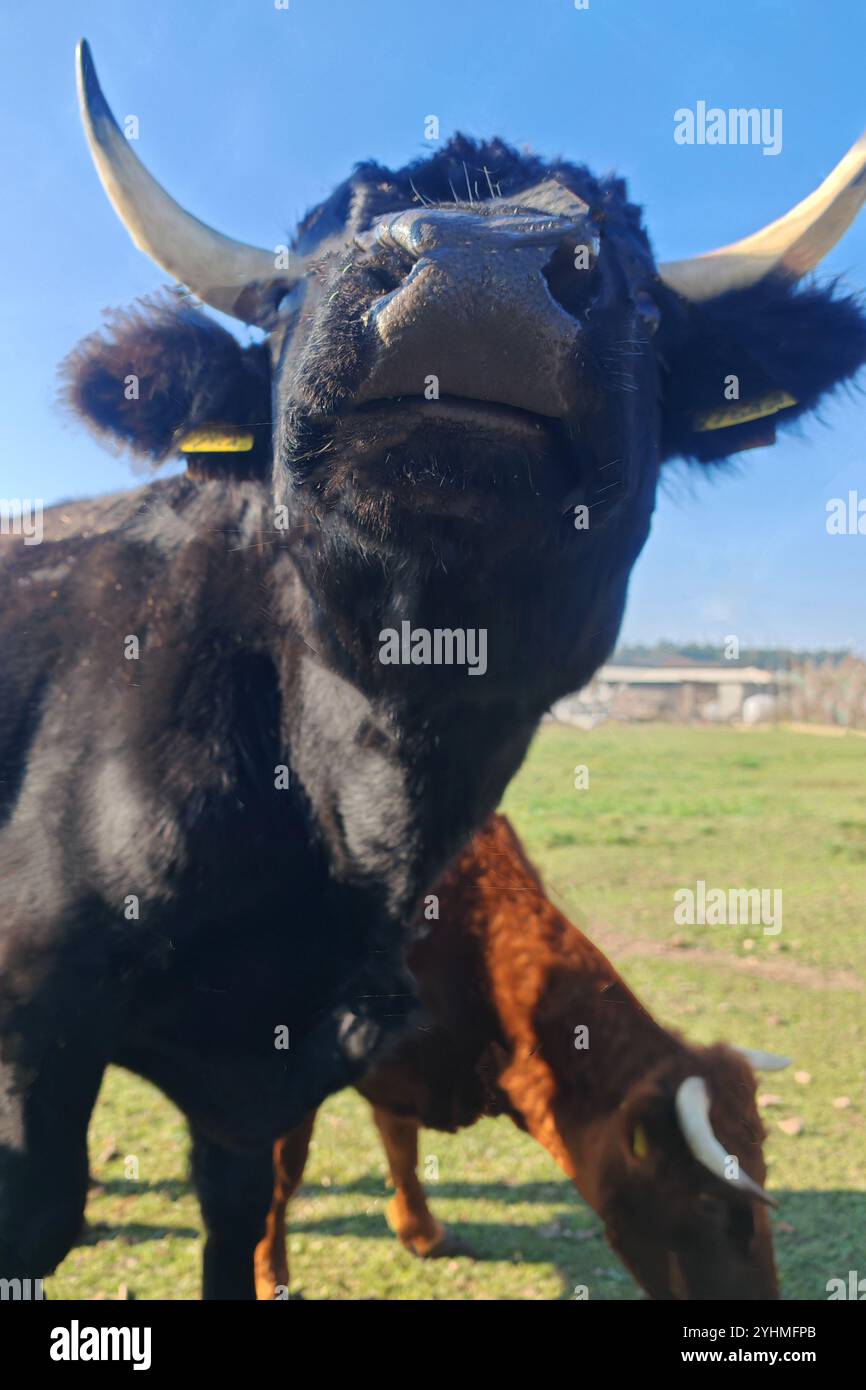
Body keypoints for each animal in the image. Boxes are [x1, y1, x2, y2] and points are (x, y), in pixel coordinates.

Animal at [253, 815, 786, 1302]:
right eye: (708, 1203)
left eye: (762, 1170)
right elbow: (284, 1173)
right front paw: (269, 1276)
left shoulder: (403, 1067)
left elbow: (400, 1145)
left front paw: (423, 1233)